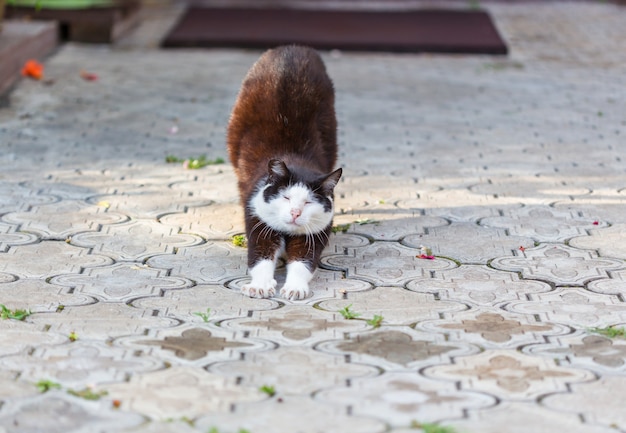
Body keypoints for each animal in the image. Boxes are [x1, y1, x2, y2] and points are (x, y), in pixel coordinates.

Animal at [225, 44, 342, 300]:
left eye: (308, 202)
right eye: (286, 197)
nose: (296, 213)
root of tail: (293, 48)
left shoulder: (315, 232)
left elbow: (303, 262)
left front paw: (295, 288)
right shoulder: (258, 220)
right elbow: (260, 258)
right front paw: (259, 285)